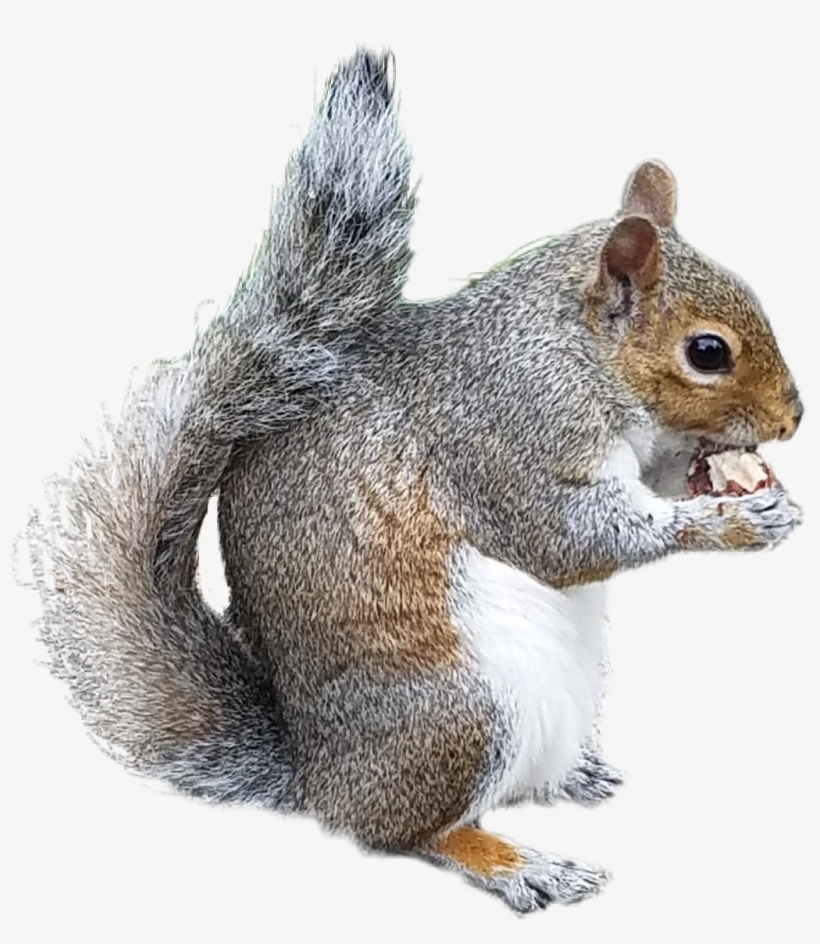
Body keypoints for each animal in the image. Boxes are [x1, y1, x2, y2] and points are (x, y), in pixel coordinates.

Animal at [22, 49, 803, 914]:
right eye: (708, 352)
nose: (794, 418)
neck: (574, 353)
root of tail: (317, 777)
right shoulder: (504, 438)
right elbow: (567, 540)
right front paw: (733, 524)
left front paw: (716, 474)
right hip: (458, 715)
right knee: (414, 832)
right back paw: (515, 862)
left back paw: (572, 774)